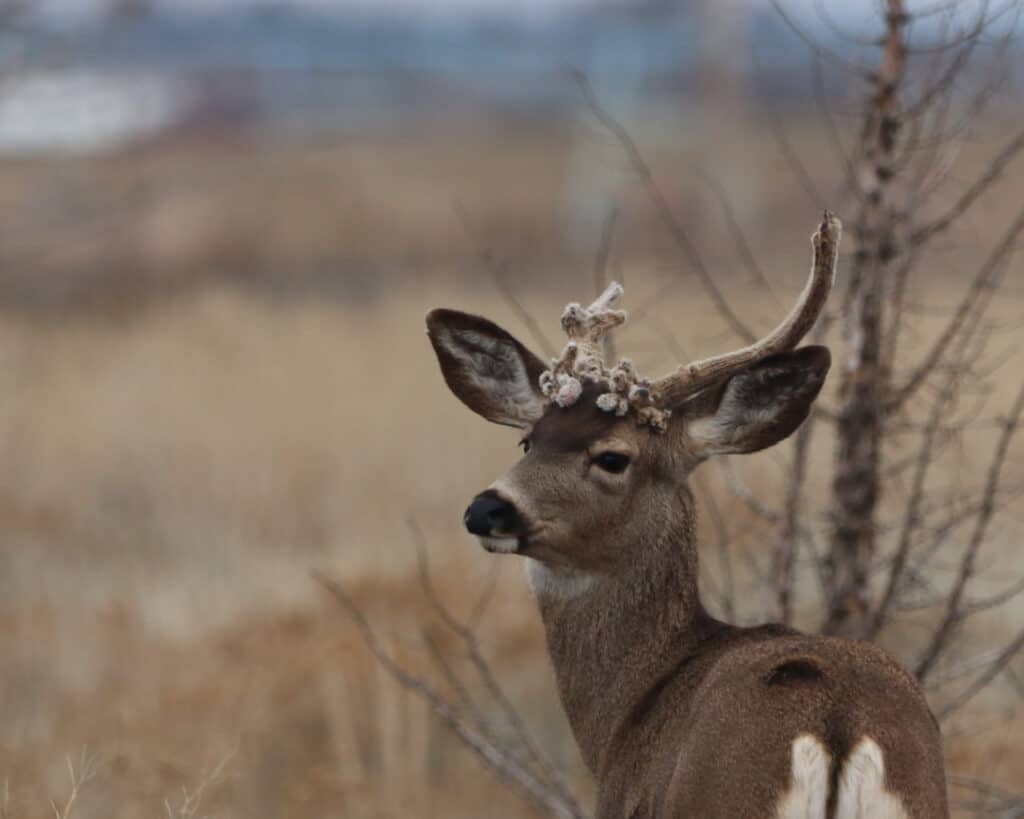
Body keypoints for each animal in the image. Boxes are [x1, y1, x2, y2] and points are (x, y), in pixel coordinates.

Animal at [421, 216, 942, 818]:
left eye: (613, 457)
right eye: (528, 441)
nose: (487, 508)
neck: (631, 708)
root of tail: (838, 726)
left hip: (720, 798)